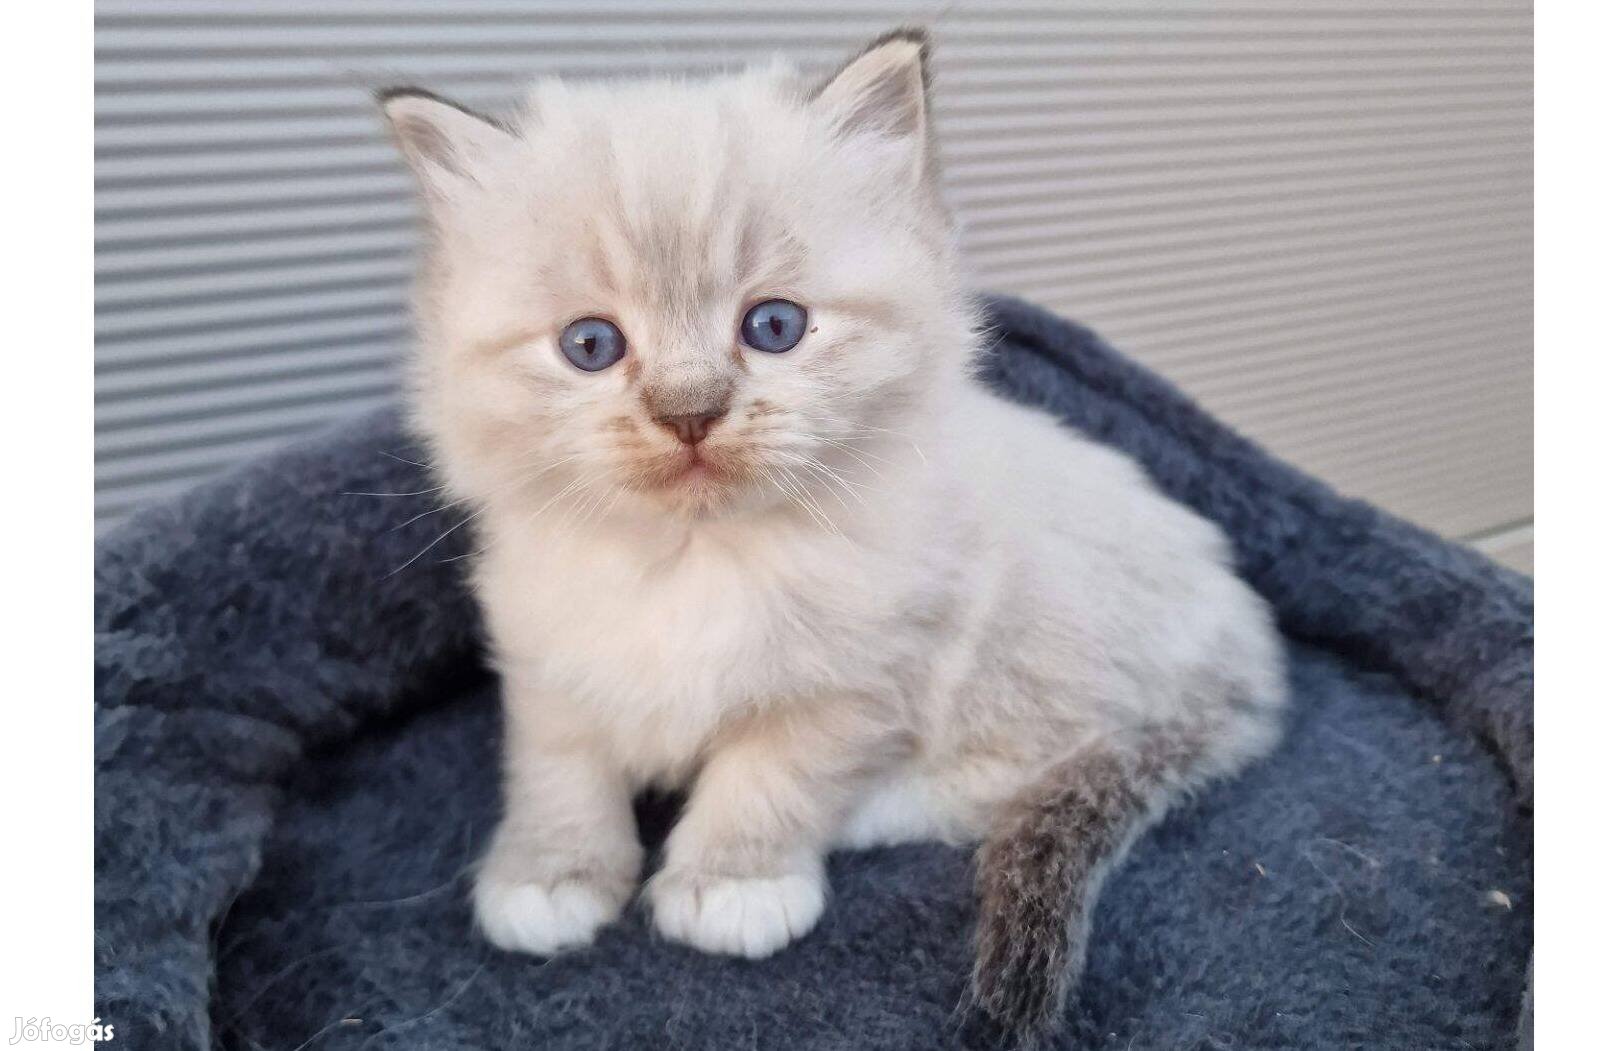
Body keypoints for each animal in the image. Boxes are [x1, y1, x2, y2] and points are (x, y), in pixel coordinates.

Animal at [377, 26, 1283, 1044]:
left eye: (774, 326)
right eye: (590, 346)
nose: (688, 413)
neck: (692, 562)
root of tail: (1249, 641)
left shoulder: (859, 675)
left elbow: (766, 778)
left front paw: (732, 883)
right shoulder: (547, 660)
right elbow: (559, 768)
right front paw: (551, 874)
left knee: (1028, 767)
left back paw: (867, 813)